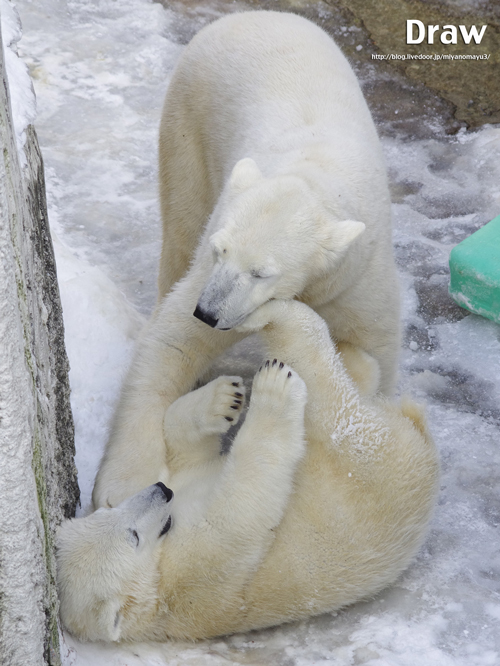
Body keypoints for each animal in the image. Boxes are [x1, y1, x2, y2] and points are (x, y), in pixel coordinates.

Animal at [57, 300, 438, 640]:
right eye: (132, 536)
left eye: (105, 513)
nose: (162, 492)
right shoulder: (195, 573)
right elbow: (241, 511)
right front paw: (273, 391)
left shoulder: (182, 486)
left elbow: (186, 450)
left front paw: (223, 399)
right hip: (366, 460)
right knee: (330, 398)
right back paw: (279, 325)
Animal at [92, 10, 400, 506]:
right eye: (220, 250)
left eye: (261, 273)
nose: (207, 311)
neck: (313, 177)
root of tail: (252, 14)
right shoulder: (212, 262)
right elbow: (174, 342)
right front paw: (125, 480)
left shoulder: (357, 274)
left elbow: (373, 350)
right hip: (188, 123)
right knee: (181, 228)